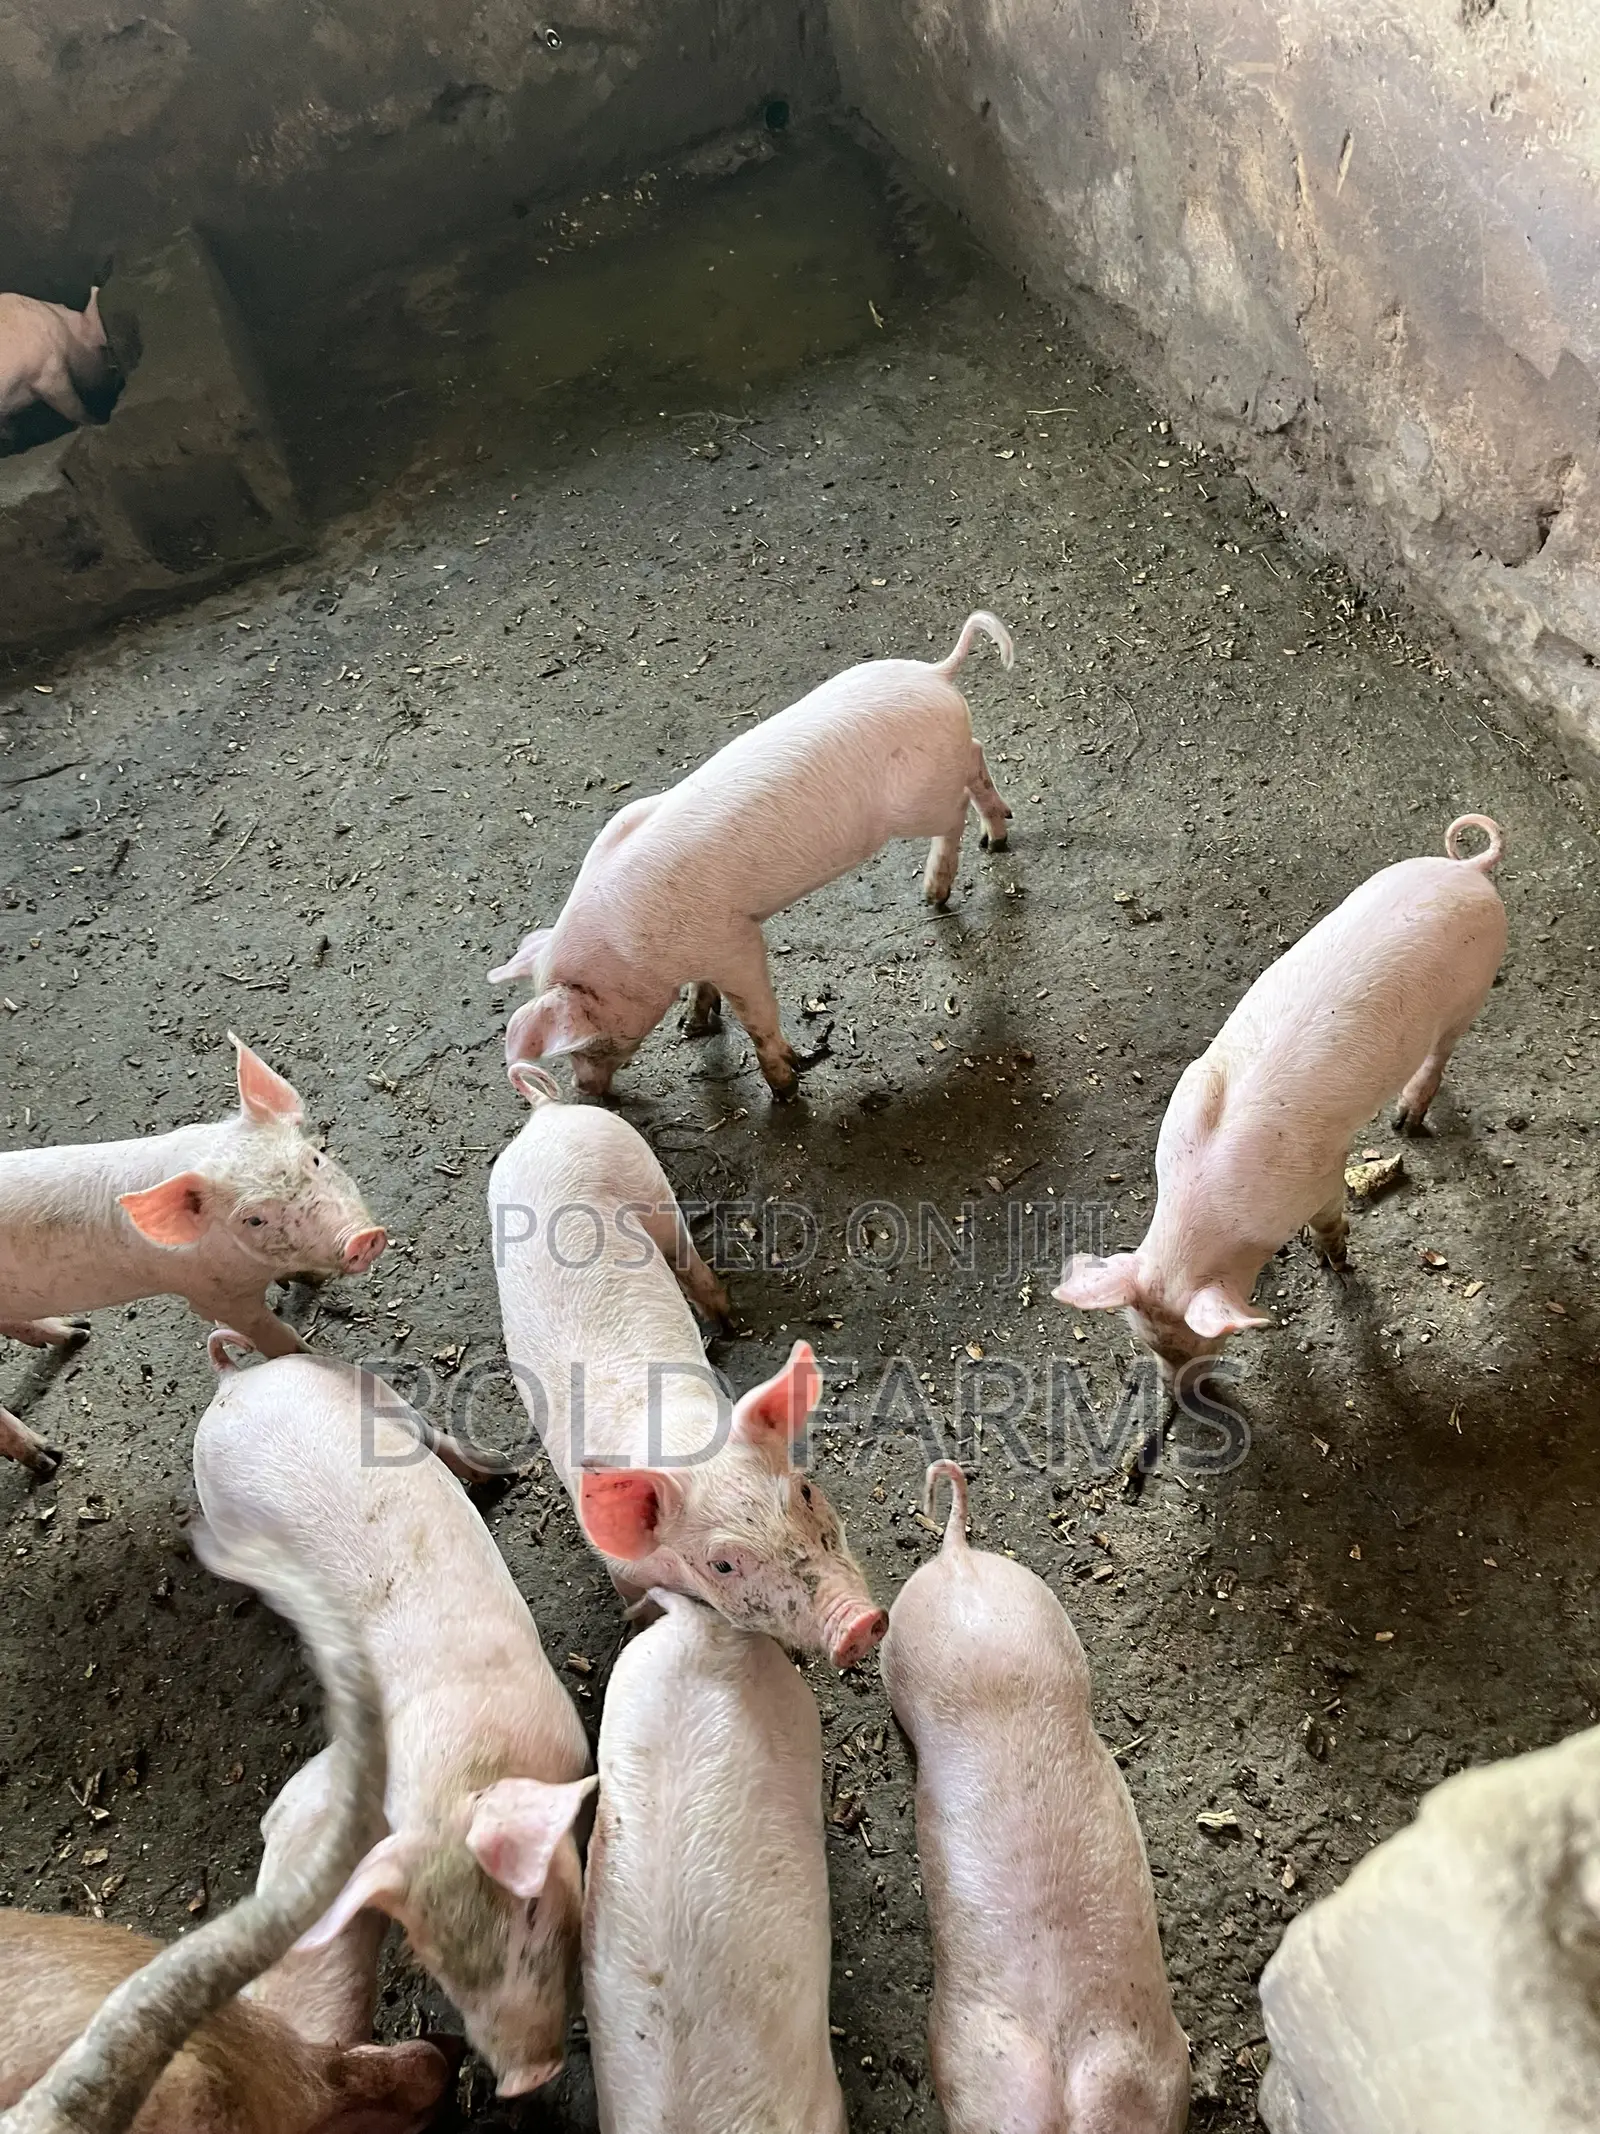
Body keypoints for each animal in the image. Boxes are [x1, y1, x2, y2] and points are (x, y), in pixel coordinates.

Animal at [0, 1033, 386, 1476]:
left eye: (316, 1159)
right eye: (254, 1219)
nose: (363, 1239)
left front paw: (310, 1280)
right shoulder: (209, 1293)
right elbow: (272, 1335)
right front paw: (313, 1360)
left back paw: (78, 1331)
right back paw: (49, 1457)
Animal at [194, 1342, 597, 2100]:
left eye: (531, 1912)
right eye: (431, 1959)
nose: (525, 2078)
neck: (465, 1774)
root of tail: (232, 1385)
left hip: (364, 1392)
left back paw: (498, 1472)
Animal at [488, 609, 1015, 1098]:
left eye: (580, 1043)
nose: (584, 1091)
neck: (627, 949)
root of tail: (936, 674)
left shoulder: (736, 940)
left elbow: (756, 1010)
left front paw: (784, 1087)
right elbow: (704, 989)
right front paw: (693, 1024)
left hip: (922, 801)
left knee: (962, 795)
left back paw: (941, 886)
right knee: (976, 755)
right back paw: (991, 839)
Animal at [489, 1063, 886, 1666]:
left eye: (806, 1491)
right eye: (722, 1563)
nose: (859, 1624)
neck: (682, 1438)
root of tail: (545, 1113)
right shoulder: (625, 1568)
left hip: (646, 1180)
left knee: (685, 1256)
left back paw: (725, 1323)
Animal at [1055, 814, 1508, 1384]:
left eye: (1206, 1342)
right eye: (1147, 1340)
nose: (1179, 1396)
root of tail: (1468, 870)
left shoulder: (1320, 1176)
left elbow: (1331, 1221)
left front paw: (1335, 1264)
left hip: (1472, 991)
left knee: (1441, 1053)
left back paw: (1405, 1121)